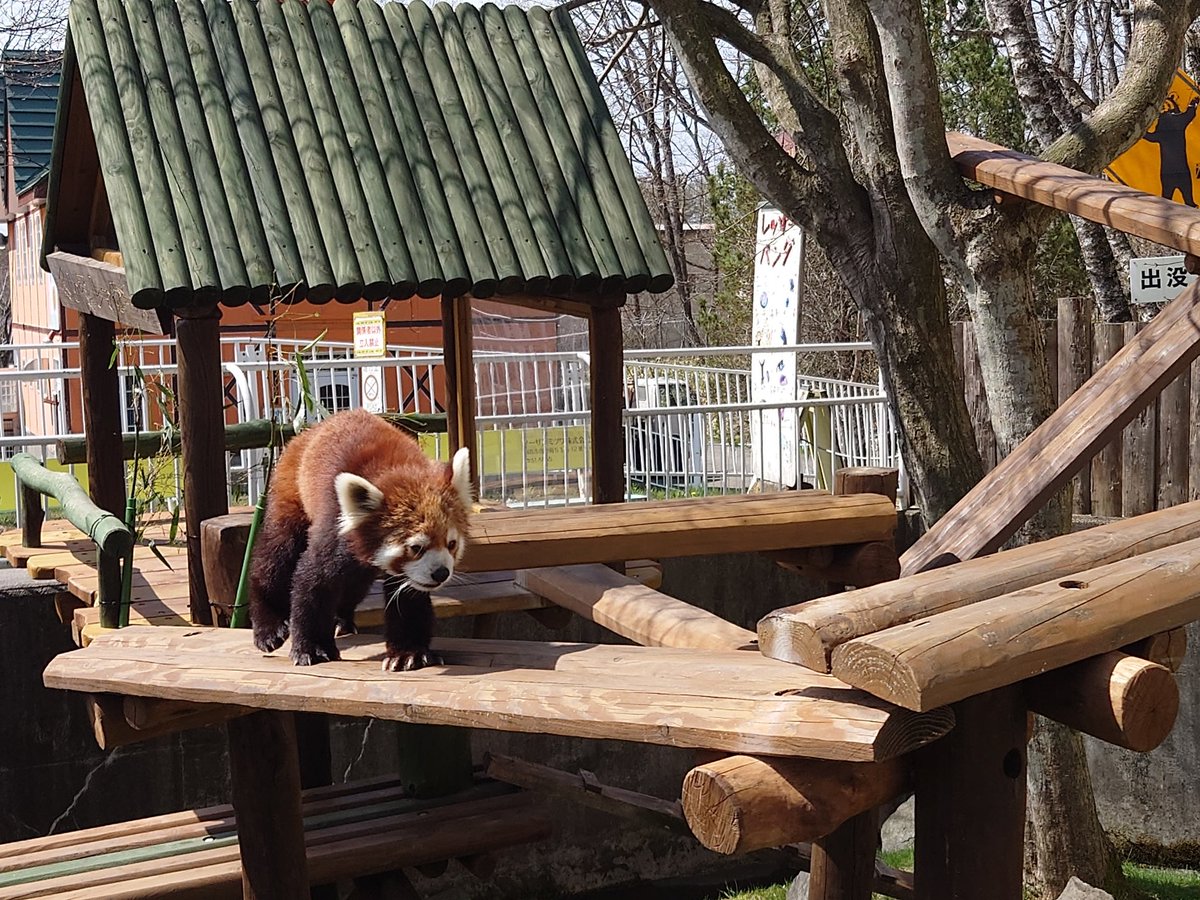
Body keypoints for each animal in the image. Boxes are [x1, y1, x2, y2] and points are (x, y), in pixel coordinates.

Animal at [250, 408, 470, 672]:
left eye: (451, 544)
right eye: (416, 547)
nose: (441, 573)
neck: (399, 469)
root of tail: (310, 431)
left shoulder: (409, 573)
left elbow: (408, 597)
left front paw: (409, 653)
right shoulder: (334, 526)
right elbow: (313, 582)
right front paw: (313, 649)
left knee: (353, 587)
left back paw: (342, 620)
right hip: (289, 494)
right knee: (276, 557)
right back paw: (268, 628)